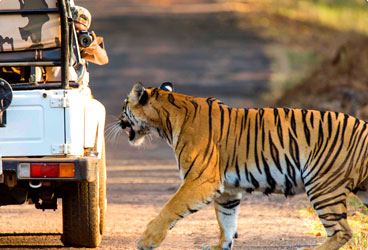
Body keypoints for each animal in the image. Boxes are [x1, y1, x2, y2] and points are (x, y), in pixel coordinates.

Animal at [118, 82, 368, 250]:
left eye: (124, 105)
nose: (119, 121)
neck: (167, 121)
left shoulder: (200, 180)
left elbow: (170, 207)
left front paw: (146, 240)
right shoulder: (227, 189)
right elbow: (226, 220)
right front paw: (220, 246)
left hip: (323, 186)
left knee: (342, 231)